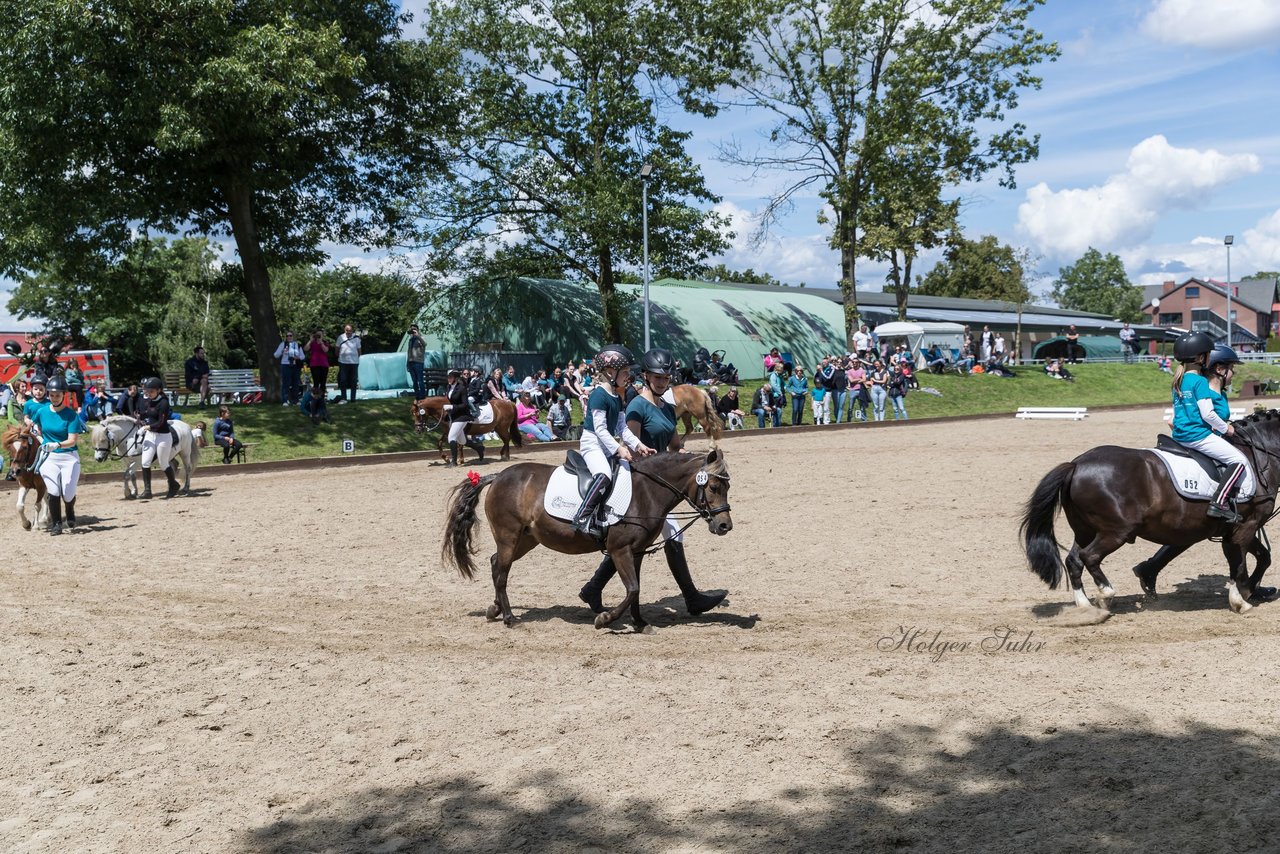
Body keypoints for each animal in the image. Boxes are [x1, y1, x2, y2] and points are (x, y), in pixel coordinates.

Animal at [445, 450, 737, 632]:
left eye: (727, 487)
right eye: (713, 487)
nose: (725, 526)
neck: (646, 492)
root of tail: (498, 476)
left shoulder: (637, 551)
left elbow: (636, 590)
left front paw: (640, 623)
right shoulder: (620, 550)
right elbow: (632, 588)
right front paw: (605, 619)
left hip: (526, 540)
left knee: (496, 564)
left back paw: (494, 610)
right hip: (509, 537)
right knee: (502, 573)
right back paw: (510, 618)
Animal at [1018, 409, 1280, 614]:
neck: (1258, 454)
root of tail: (1077, 464)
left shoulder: (1237, 529)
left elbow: (1261, 557)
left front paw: (1252, 590)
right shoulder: (1246, 526)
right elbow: (1239, 562)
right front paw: (1241, 599)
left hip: (1085, 531)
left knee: (1074, 560)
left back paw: (1085, 605)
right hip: (1116, 532)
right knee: (1089, 557)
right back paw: (1106, 594)